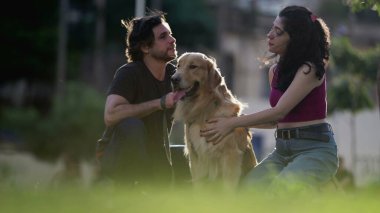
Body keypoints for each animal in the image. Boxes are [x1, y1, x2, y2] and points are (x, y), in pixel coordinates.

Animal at [171, 52, 255, 190]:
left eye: (193, 66)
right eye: (178, 66)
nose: (173, 79)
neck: (206, 110)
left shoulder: (231, 156)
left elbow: (228, 187)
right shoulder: (195, 157)